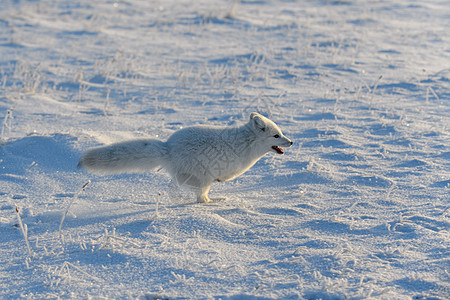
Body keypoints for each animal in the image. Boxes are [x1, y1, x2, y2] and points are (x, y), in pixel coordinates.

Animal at [79, 113, 294, 204]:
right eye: (276, 136)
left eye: (281, 133)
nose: (291, 142)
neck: (246, 143)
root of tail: (168, 148)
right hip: (202, 179)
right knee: (201, 199)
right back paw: (214, 201)